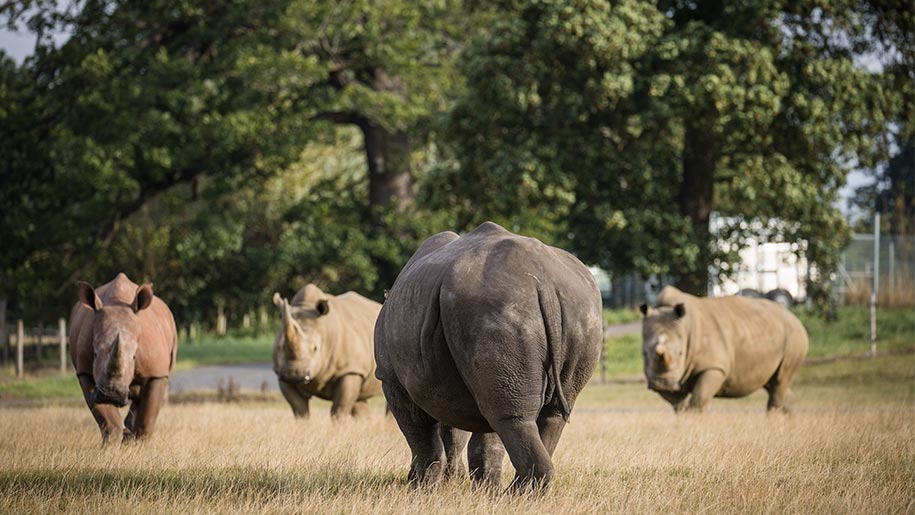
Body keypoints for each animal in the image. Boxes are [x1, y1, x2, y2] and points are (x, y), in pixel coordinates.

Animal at [69, 272, 178, 446]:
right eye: (95, 354)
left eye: (134, 356)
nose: (111, 395)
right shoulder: (84, 371)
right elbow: (108, 422)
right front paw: (110, 447)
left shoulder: (157, 373)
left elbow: (146, 420)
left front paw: (140, 447)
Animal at [274, 284, 384, 422]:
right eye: (280, 347)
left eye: (315, 348)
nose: (294, 373)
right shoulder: (281, 373)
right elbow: (299, 408)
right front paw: (303, 425)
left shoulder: (349, 370)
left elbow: (340, 408)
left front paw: (339, 426)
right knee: (359, 397)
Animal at [376, 222, 604, 492]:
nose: (411, 479)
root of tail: (544, 282)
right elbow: (478, 437)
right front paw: (481, 489)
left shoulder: (389, 377)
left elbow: (420, 433)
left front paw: (421, 487)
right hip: (579, 308)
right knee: (539, 412)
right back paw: (514, 492)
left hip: (496, 308)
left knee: (508, 415)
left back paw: (514, 495)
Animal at [636, 284, 808, 414]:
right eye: (644, 353)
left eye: (680, 353)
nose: (662, 383)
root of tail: (794, 317)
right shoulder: (660, 374)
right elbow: (677, 403)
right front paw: (683, 419)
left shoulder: (715, 366)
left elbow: (699, 398)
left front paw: (692, 420)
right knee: (774, 383)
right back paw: (787, 422)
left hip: (793, 336)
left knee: (780, 380)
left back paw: (773, 420)